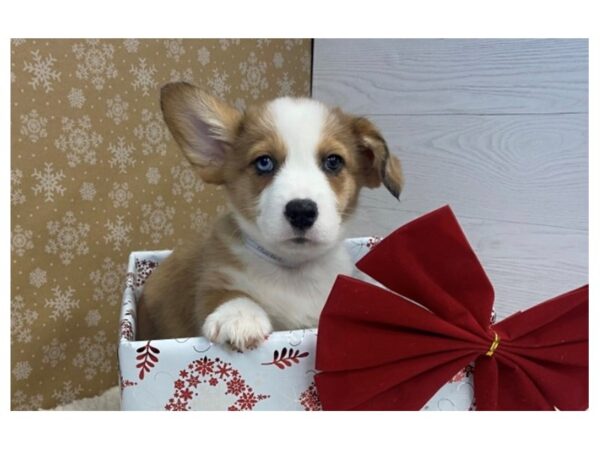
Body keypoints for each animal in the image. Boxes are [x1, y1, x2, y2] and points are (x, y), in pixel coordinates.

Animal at [137, 81, 404, 352]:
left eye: (333, 161)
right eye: (264, 162)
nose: (301, 211)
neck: (293, 272)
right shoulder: (213, 280)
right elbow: (225, 294)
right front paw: (239, 316)